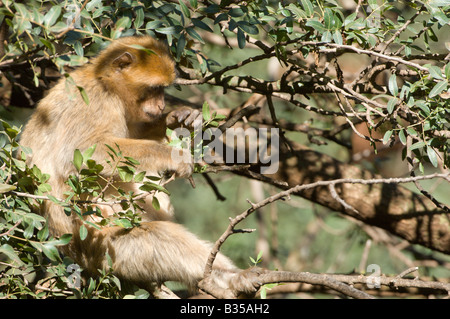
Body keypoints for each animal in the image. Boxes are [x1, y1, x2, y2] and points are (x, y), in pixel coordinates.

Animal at [20, 35, 246, 298]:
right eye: (154, 89)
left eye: (163, 90)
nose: (161, 105)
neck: (106, 83)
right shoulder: (95, 102)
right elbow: (82, 152)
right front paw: (174, 156)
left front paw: (180, 119)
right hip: (102, 247)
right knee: (154, 237)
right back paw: (228, 277)